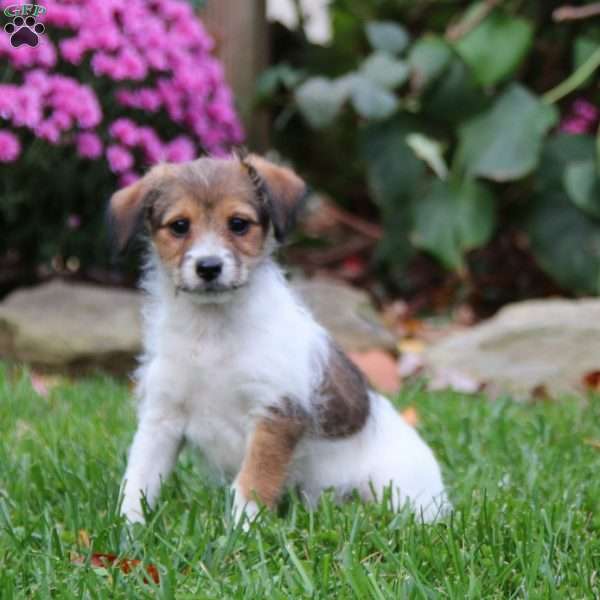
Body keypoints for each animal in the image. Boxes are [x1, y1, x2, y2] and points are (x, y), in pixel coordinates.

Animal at [111, 154, 450, 524]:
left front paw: (241, 529)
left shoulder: (275, 414)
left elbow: (253, 482)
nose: (209, 267)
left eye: (238, 224)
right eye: (179, 226)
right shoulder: (162, 416)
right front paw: (128, 527)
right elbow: (139, 477)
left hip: (392, 488)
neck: (213, 332)